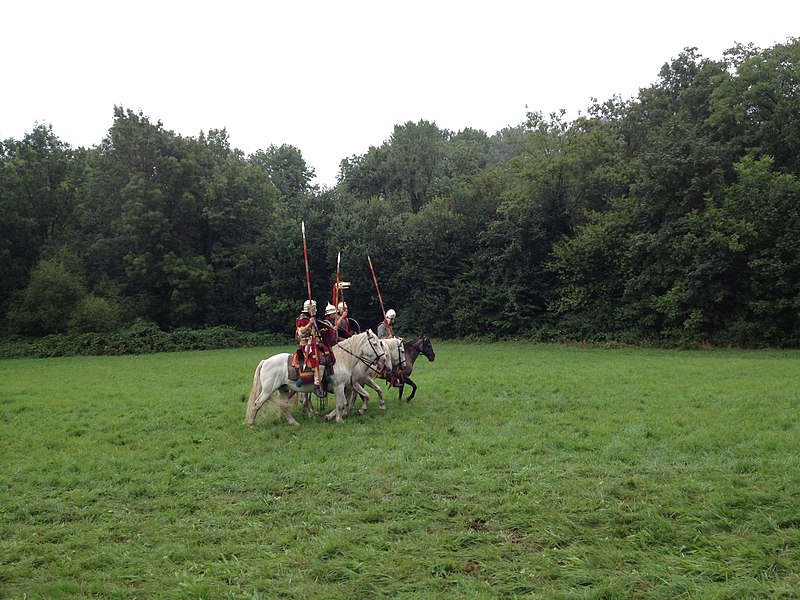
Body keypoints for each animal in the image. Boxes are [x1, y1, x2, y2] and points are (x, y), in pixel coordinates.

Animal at [247, 330, 390, 424]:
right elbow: (341, 404)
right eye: (375, 344)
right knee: (257, 403)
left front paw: (333, 416)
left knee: (284, 405)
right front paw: (339, 419)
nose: (383, 359)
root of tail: (265, 361)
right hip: (267, 390)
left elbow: (346, 402)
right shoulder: (340, 386)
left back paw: (294, 423)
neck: (343, 359)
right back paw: (251, 423)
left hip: (284, 389)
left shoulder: (347, 386)